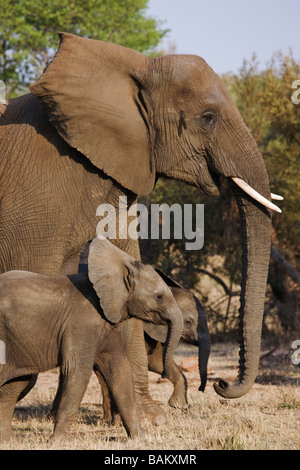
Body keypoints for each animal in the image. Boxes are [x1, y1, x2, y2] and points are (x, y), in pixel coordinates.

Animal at [0, 31, 282, 414]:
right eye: (208, 118)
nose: (221, 384)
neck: (139, 67)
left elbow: (125, 268)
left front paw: (148, 416)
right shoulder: (37, 192)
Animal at [0, 237, 183, 442]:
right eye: (159, 297)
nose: (163, 376)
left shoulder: (107, 323)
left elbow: (120, 369)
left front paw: (140, 438)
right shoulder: (83, 322)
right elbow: (77, 370)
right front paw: (61, 441)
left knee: (16, 384)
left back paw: (9, 441)